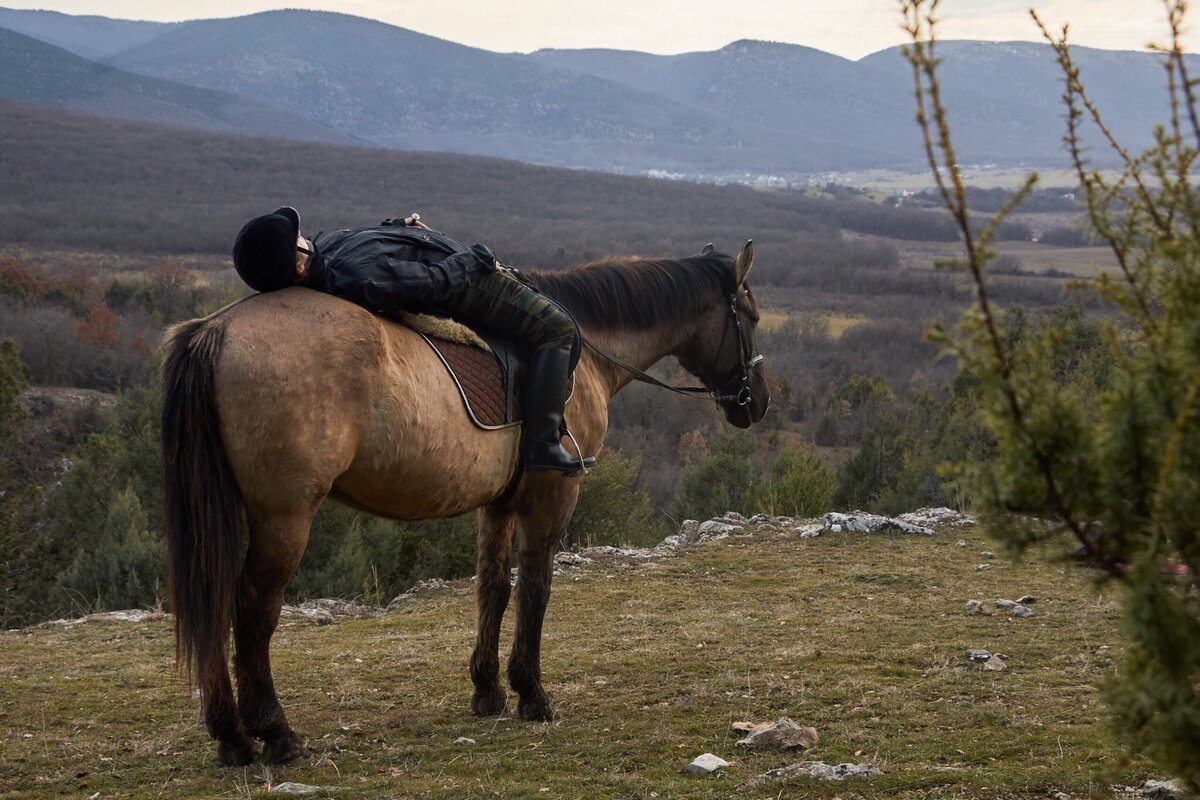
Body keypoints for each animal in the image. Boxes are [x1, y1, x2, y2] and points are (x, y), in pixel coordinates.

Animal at [159, 241, 768, 767]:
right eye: (752, 315)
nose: (758, 402)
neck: (584, 346)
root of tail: (214, 330)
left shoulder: (497, 504)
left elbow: (492, 587)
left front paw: (487, 690)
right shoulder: (552, 497)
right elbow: (536, 588)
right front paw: (531, 693)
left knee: (216, 599)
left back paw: (232, 736)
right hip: (285, 517)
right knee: (252, 610)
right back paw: (275, 732)